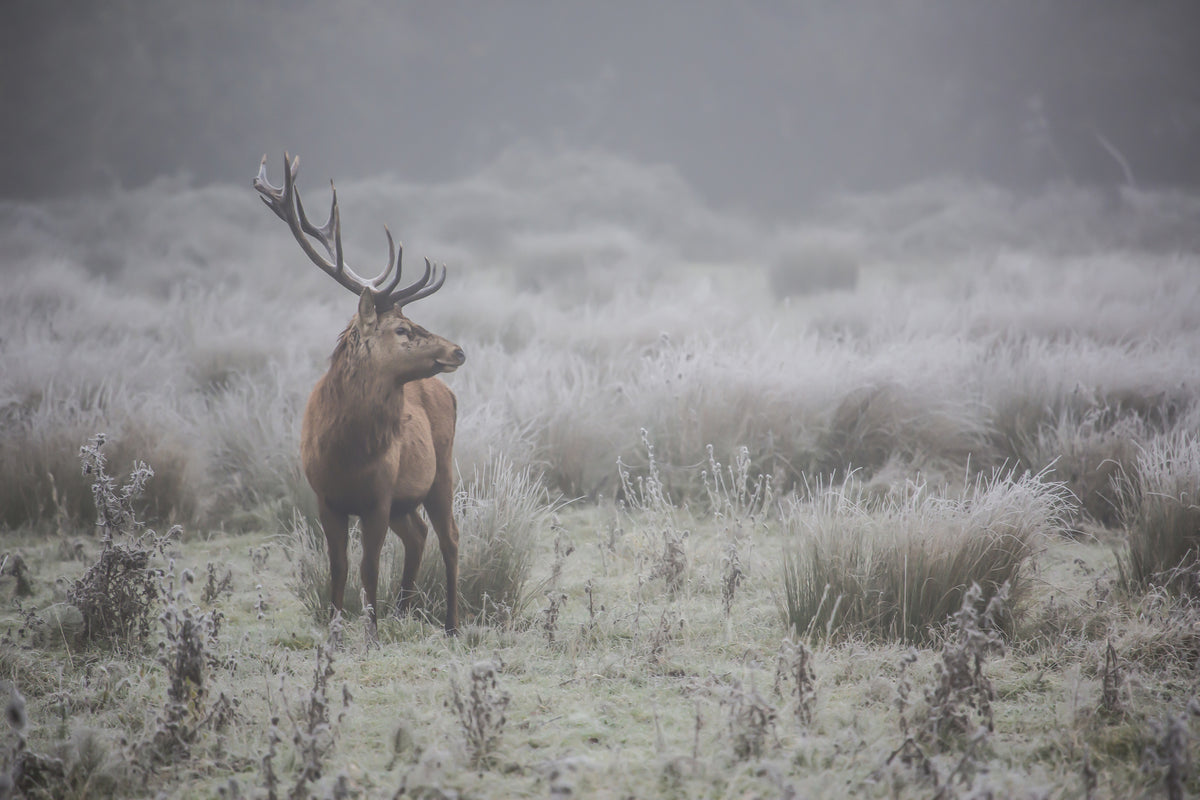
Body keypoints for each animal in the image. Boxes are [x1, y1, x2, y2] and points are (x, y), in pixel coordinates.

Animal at [253, 153, 466, 639]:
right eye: (402, 329)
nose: (458, 350)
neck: (345, 450)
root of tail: (447, 392)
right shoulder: (326, 498)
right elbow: (339, 568)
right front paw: (336, 628)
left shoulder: (379, 496)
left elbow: (369, 568)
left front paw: (370, 633)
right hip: (408, 498)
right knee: (420, 535)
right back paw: (404, 611)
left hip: (442, 468)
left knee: (449, 538)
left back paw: (450, 624)